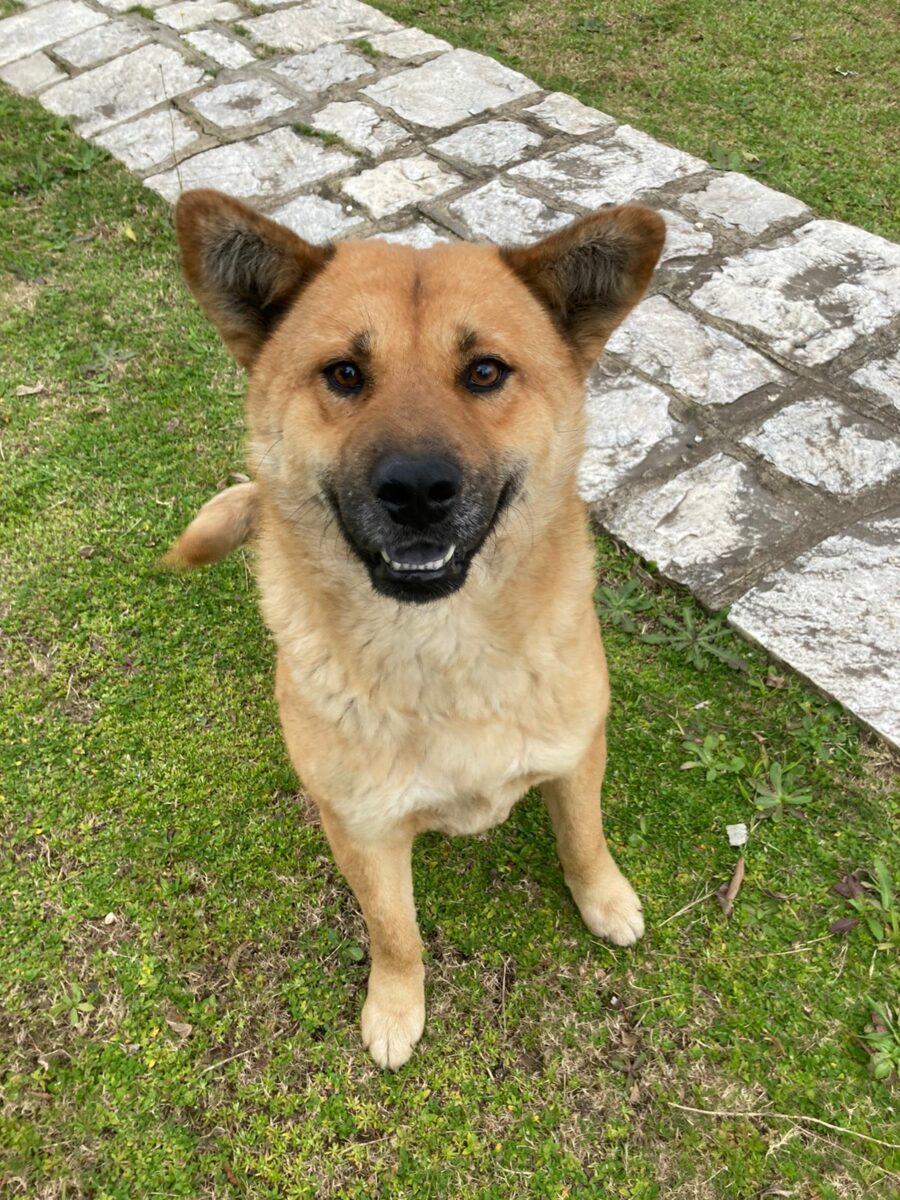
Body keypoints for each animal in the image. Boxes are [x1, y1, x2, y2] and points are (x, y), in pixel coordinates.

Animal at [165, 189, 667, 1070]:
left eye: (485, 372)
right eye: (345, 373)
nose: (418, 490)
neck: (442, 649)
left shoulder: (578, 757)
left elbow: (584, 838)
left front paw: (604, 900)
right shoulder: (362, 832)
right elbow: (394, 929)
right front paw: (397, 1006)